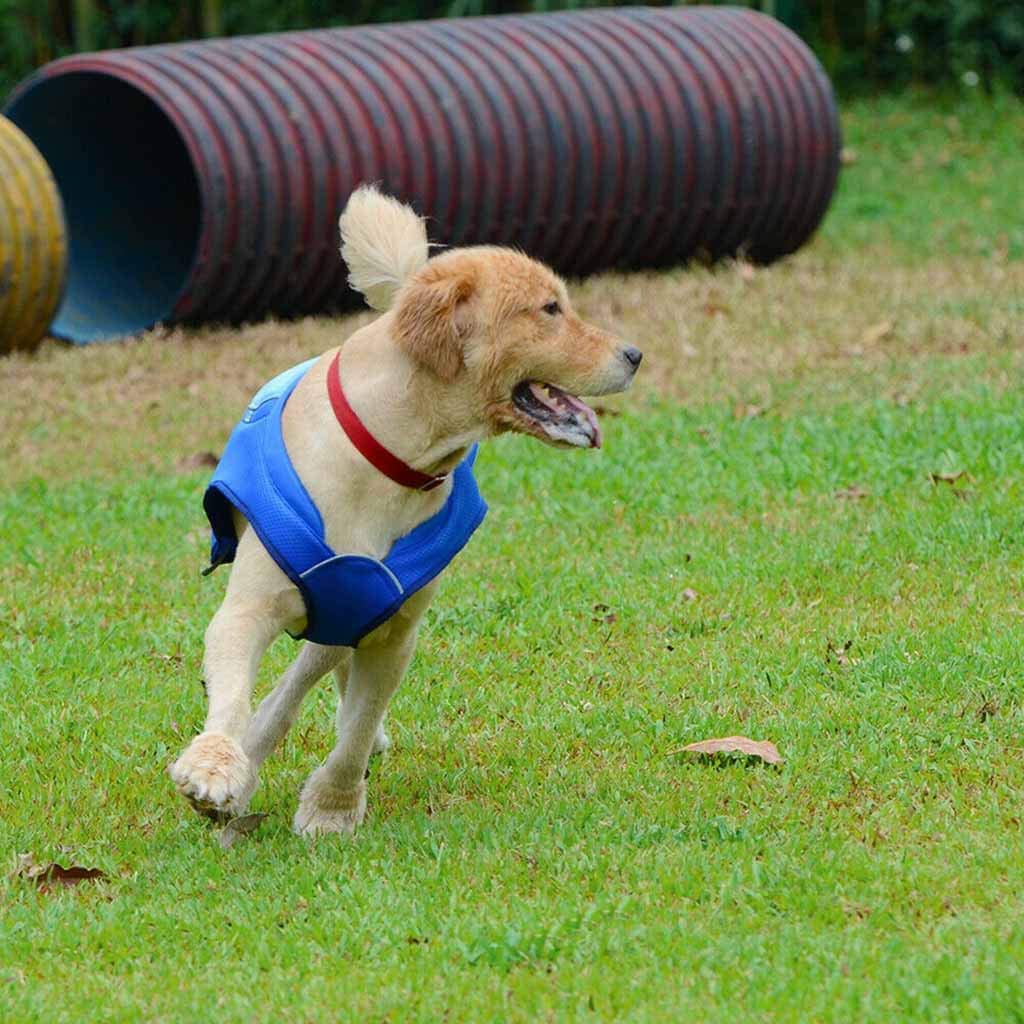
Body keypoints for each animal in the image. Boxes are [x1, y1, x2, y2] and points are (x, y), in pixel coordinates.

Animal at [172, 188, 643, 835]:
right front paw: (216, 768)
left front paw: (332, 808)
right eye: (550, 308)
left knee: (317, 678)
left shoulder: (391, 628)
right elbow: (233, 696)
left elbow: (356, 727)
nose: (635, 354)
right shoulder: (250, 607)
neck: (391, 458)